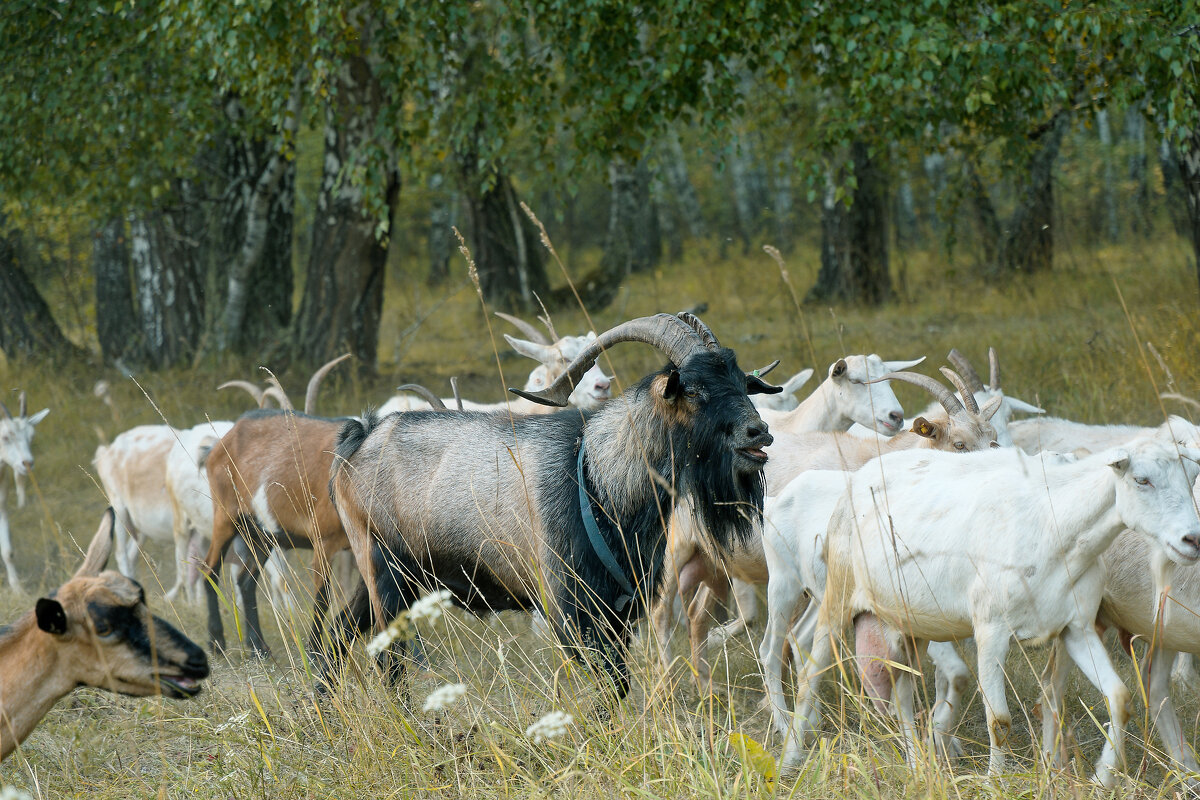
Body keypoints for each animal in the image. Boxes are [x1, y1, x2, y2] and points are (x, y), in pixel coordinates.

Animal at [199, 410, 350, 652]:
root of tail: (219, 445)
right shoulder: (325, 540)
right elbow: (323, 597)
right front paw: (315, 653)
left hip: (261, 535)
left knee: (245, 581)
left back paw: (258, 647)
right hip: (225, 517)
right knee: (209, 569)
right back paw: (216, 641)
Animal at [326, 311, 777, 700]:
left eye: (741, 382)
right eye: (695, 390)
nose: (759, 432)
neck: (597, 476)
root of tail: (363, 434)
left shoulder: (618, 614)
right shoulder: (571, 611)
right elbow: (611, 686)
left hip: (383, 577)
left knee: (338, 630)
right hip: (384, 570)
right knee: (387, 658)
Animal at [782, 438, 1200, 786]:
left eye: (1191, 477)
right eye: (1142, 480)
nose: (1192, 540)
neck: (1053, 525)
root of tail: (859, 477)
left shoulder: (1075, 627)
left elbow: (1120, 699)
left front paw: (1103, 779)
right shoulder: (991, 630)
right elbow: (999, 721)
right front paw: (995, 782)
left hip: (910, 623)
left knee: (901, 694)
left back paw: (918, 768)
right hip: (838, 594)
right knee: (809, 675)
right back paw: (790, 762)